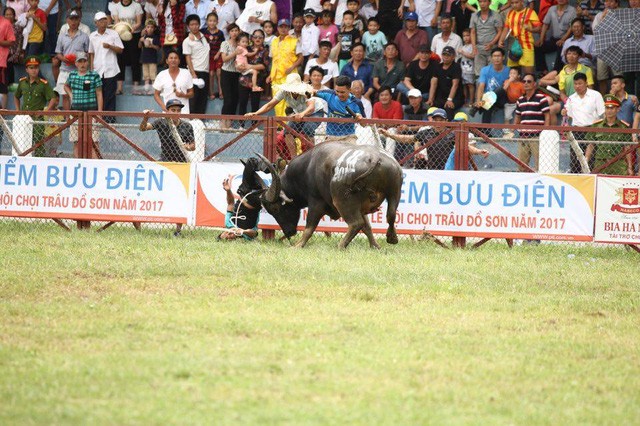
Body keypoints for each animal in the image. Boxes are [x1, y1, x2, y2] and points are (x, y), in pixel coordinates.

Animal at [258, 143, 400, 250]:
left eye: (275, 208)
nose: (288, 232)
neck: (307, 169)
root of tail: (375, 157)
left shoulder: (315, 203)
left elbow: (309, 227)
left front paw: (298, 245)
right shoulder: (361, 207)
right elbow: (367, 227)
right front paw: (375, 246)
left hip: (342, 200)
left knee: (355, 223)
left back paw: (341, 245)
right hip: (395, 192)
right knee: (390, 215)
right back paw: (392, 237)